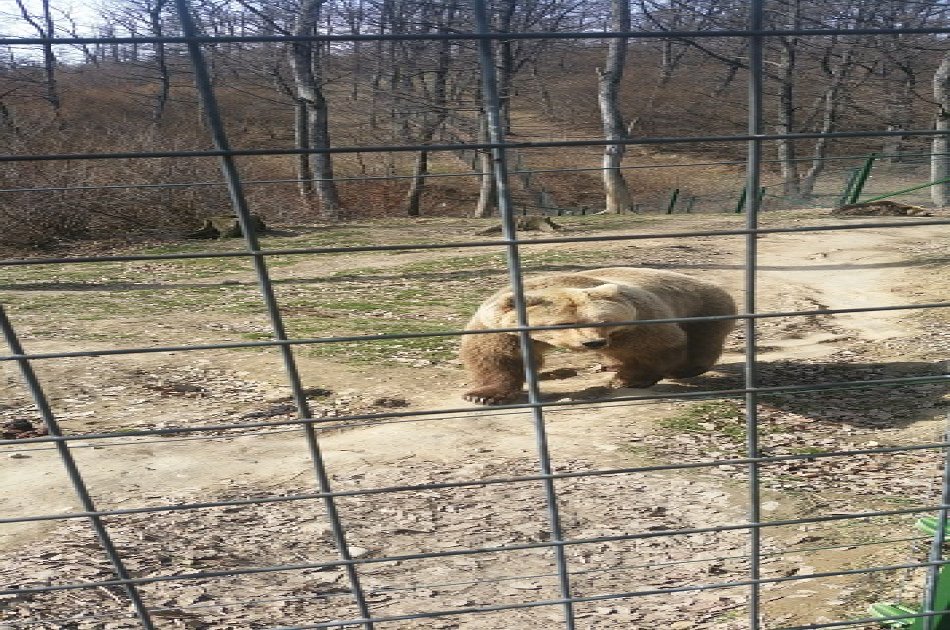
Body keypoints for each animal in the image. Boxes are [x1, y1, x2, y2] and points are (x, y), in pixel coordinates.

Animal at [460, 266, 736, 404]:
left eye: (604, 320)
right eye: (563, 323)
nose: (593, 342)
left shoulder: (636, 323)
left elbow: (656, 347)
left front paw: (628, 379)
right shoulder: (503, 330)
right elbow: (499, 358)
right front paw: (482, 394)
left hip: (702, 309)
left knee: (701, 344)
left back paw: (681, 369)